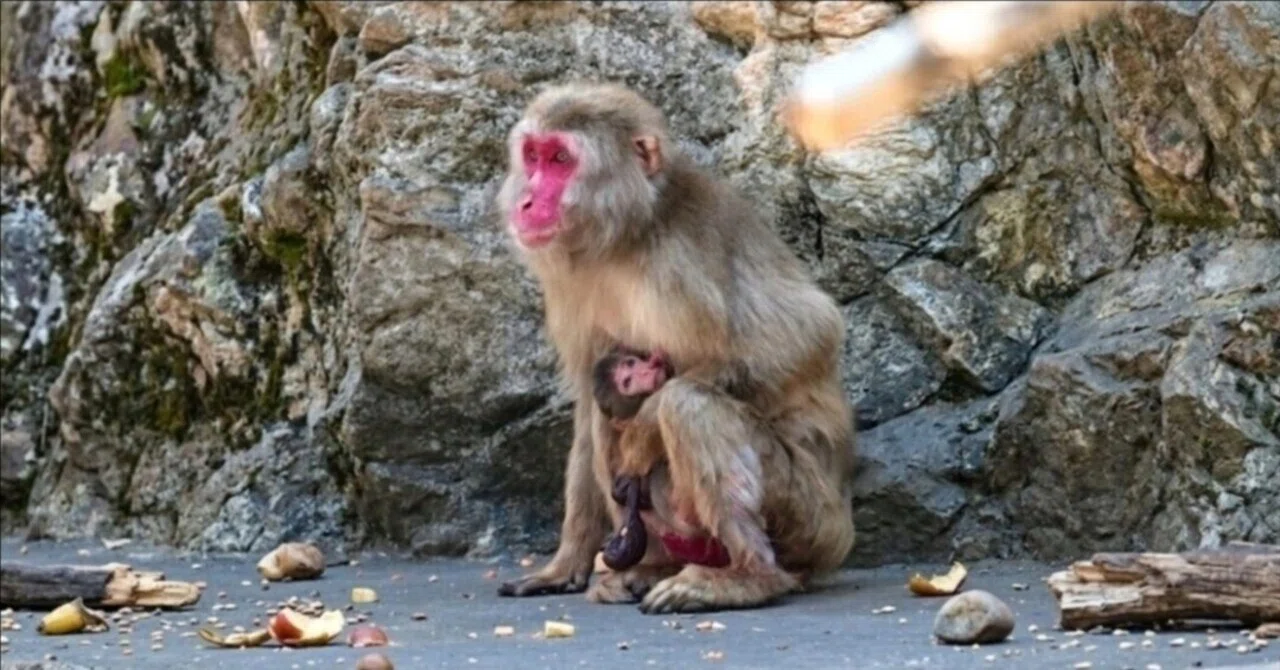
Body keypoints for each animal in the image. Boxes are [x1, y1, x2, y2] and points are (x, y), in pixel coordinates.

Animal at [494, 82, 856, 614]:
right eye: (533, 156)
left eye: (561, 159)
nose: (525, 200)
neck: (626, 236)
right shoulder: (570, 283)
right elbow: (588, 399)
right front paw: (565, 564)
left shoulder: (682, 265)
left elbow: (805, 338)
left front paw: (645, 428)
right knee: (606, 420)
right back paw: (651, 567)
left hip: (810, 519)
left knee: (690, 404)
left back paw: (750, 577)